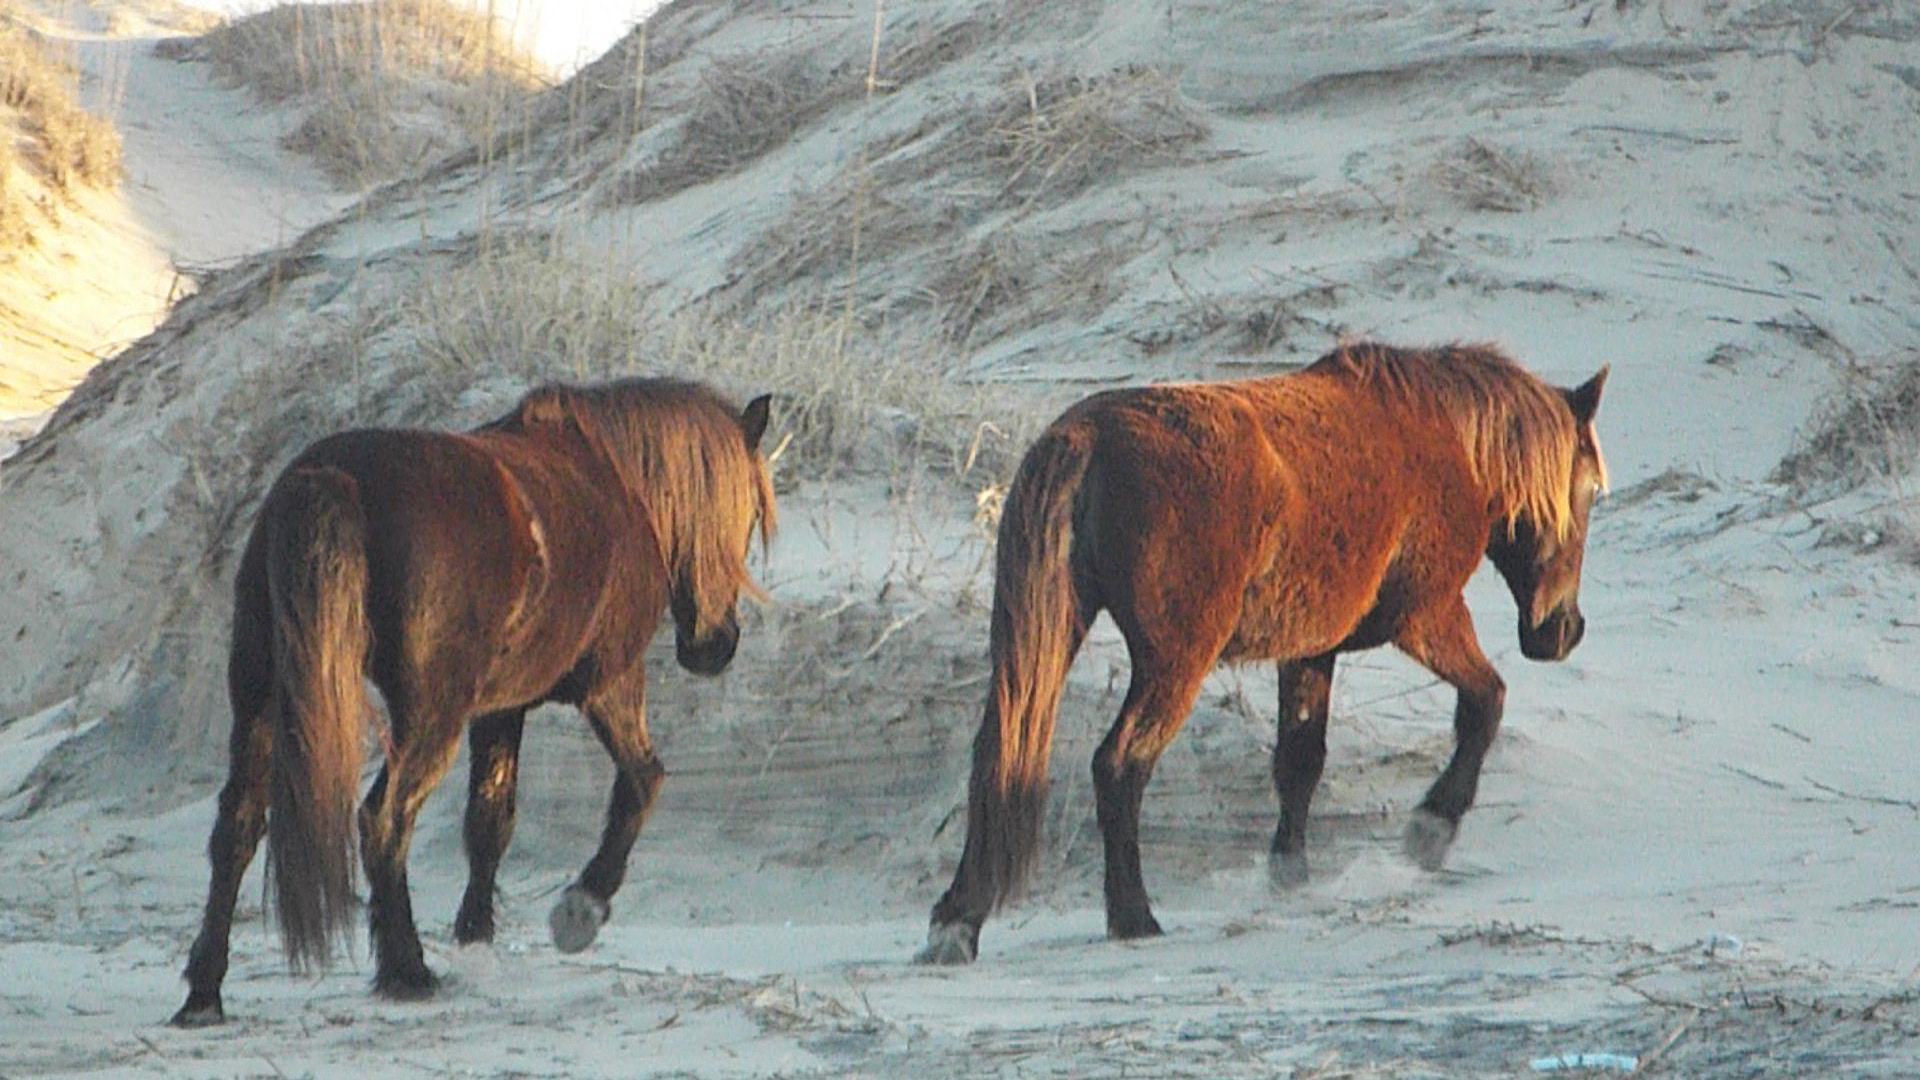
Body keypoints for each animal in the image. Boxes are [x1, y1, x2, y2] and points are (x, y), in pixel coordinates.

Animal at [170, 376, 771, 1014]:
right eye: (748, 511)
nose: (715, 645)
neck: (618, 483)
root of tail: (331, 477)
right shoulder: (609, 683)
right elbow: (642, 780)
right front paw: (581, 908)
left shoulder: (501, 707)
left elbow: (489, 818)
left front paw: (475, 937)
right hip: (430, 718)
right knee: (383, 821)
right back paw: (407, 970)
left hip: (260, 698)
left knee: (236, 827)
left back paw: (205, 990)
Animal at [921, 338, 1612, 957]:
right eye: (1586, 493)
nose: (1561, 630)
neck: (1446, 441)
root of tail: (1085, 440)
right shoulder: (1427, 618)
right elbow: (1484, 704)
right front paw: (1429, 830)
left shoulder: (1310, 651)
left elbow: (1299, 762)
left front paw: (1290, 877)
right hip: (1175, 664)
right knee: (1120, 764)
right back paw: (1133, 917)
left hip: (1053, 636)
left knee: (1002, 755)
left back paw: (959, 921)